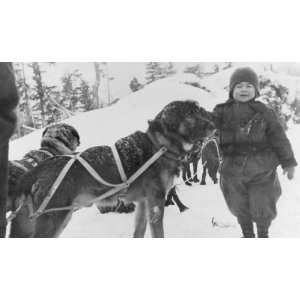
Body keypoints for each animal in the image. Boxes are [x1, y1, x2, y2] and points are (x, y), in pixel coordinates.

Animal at [9, 100, 216, 237]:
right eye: (191, 113)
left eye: (199, 109)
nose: (214, 121)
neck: (159, 145)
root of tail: (36, 170)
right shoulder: (156, 202)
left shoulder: (143, 203)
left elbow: (138, 232)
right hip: (54, 219)